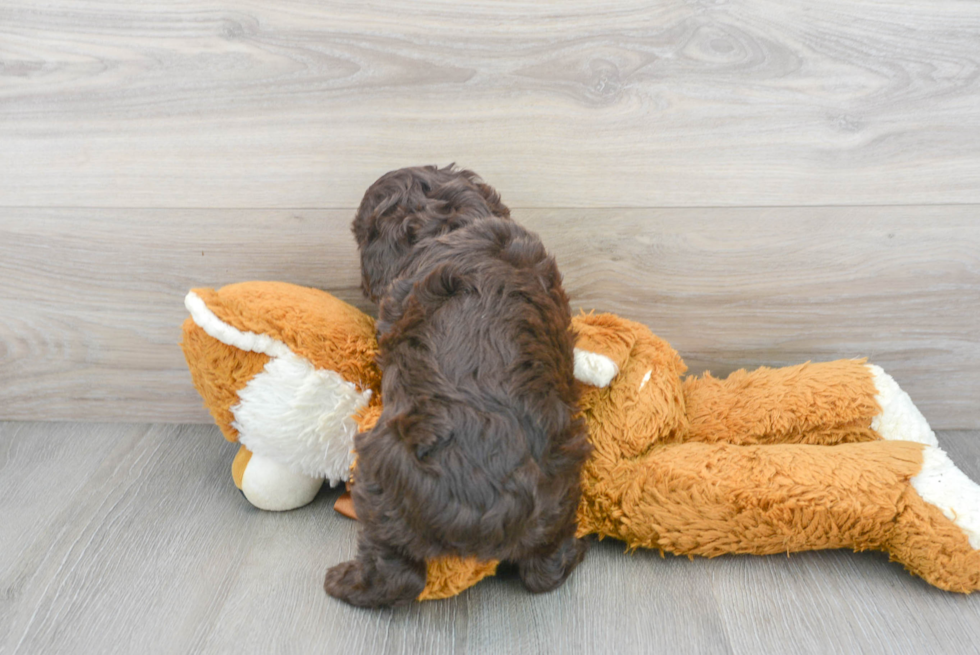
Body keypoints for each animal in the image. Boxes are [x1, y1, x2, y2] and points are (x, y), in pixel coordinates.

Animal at [326, 167, 592, 608]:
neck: (451, 221)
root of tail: (486, 507)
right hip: (561, 479)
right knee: (544, 568)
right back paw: (574, 551)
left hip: (381, 479)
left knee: (395, 573)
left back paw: (345, 582)